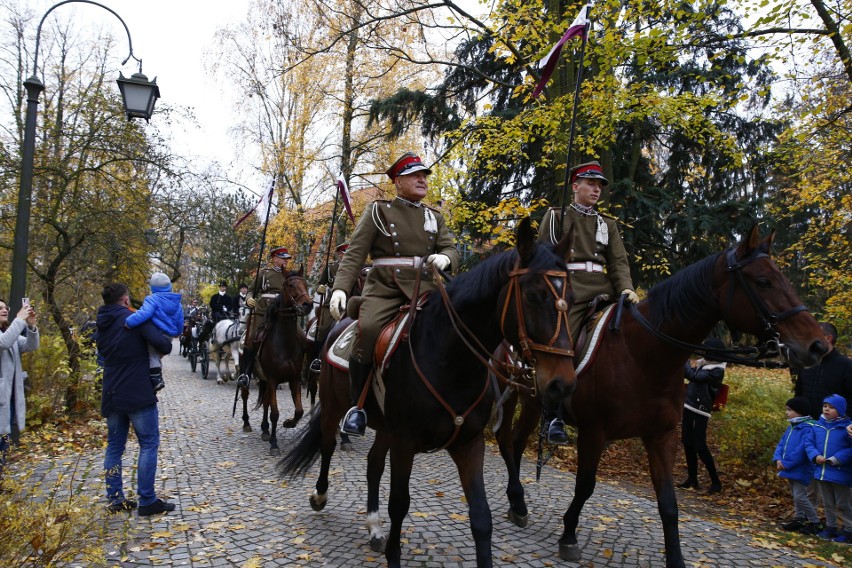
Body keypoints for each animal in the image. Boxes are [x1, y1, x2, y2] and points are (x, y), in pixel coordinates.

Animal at [235, 268, 312, 454]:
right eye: (290, 285)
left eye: (305, 283)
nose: (308, 305)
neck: (285, 343)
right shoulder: (272, 379)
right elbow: (275, 412)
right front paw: (274, 443)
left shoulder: (293, 379)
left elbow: (299, 410)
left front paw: (288, 423)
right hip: (248, 370)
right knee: (245, 395)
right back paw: (247, 423)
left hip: (264, 380)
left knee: (265, 402)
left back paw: (265, 430)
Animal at [280, 219, 580, 568]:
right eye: (532, 296)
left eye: (572, 298)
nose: (562, 383)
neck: (450, 358)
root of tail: (338, 325)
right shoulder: (405, 441)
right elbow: (399, 503)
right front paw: (394, 555)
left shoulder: (468, 443)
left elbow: (481, 516)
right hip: (333, 407)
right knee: (327, 446)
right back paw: (321, 495)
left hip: (384, 427)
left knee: (373, 464)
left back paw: (374, 526)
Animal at [492, 227, 824, 568]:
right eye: (763, 281)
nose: (817, 345)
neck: (643, 354)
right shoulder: (594, 432)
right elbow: (585, 485)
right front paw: (569, 534)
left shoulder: (662, 436)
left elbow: (668, 504)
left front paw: (675, 558)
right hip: (515, 396)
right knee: (508, 442)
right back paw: (518, 501)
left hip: (530, 402)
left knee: (514, 442)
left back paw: (517, 503)